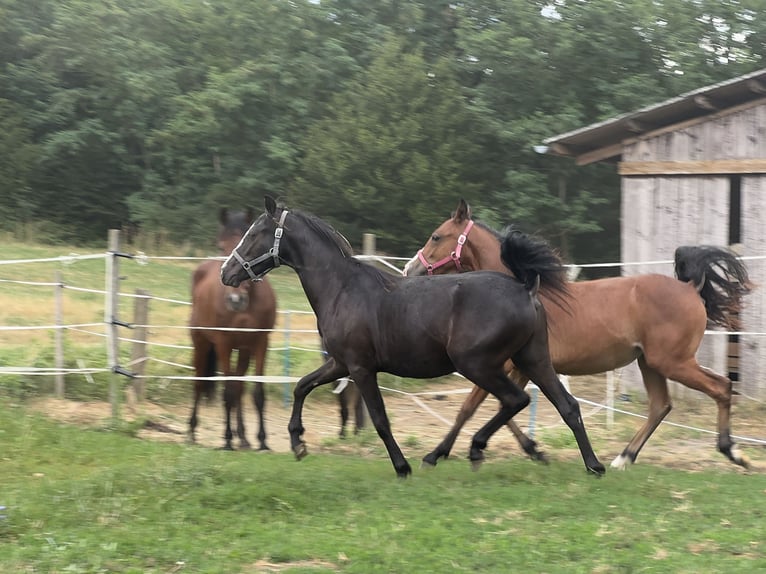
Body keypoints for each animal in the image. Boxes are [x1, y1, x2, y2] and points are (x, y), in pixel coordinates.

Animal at [188, 208, 278, 450]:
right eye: (221, 246)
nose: (235, 300)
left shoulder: (260, 343)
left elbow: (256, 392)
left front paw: (262, 440)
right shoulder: (224, 343)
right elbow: (227, 392)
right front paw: (227, 439)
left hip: (243, 350)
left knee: (239, 386)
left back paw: (244, 438)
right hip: (201, 343)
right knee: (199, 383)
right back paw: (191, 431)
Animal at [220, 196, 604, 478]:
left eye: (254, 233)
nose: (227, 272)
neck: (342, 288)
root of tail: (525, 287)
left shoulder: (360, 368)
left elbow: (379, 419)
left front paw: (402, 466)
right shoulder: (341, 364)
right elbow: (302, 386)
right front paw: (298, 443)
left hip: (478, 364)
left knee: (515, 400)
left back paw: (472, 449)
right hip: (533, 359)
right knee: (567, 406)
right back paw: (594, 465)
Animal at [404, 199, 752, 470]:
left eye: (436, 236)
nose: (410, 270)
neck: (523, 290)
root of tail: (690, 288)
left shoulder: (505, 366)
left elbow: (473, 407)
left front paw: (436, 454)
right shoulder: (518, 368)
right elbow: (500, 408)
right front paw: (533, 450)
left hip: (673, 361)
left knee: (720, 387)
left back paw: (733, 452)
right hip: (650, 363)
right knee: (661, 405)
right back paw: (624, 458)